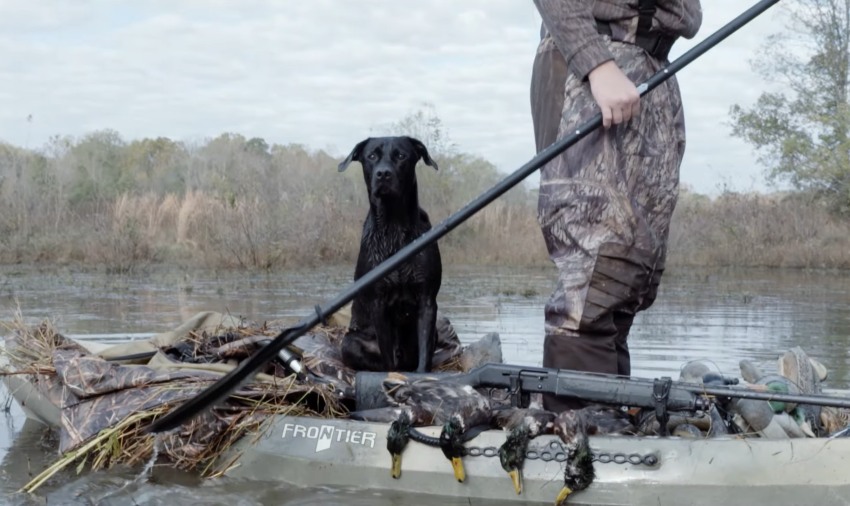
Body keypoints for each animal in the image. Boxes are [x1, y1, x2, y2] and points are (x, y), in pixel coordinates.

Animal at [338, 134, 444, 372]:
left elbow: (424, 356)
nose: (383, 174)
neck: (394, 227)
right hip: (349, 342)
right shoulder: (379, 303)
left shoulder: (427, 300)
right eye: (371, 156)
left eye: (401, 156)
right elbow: (388, 360)